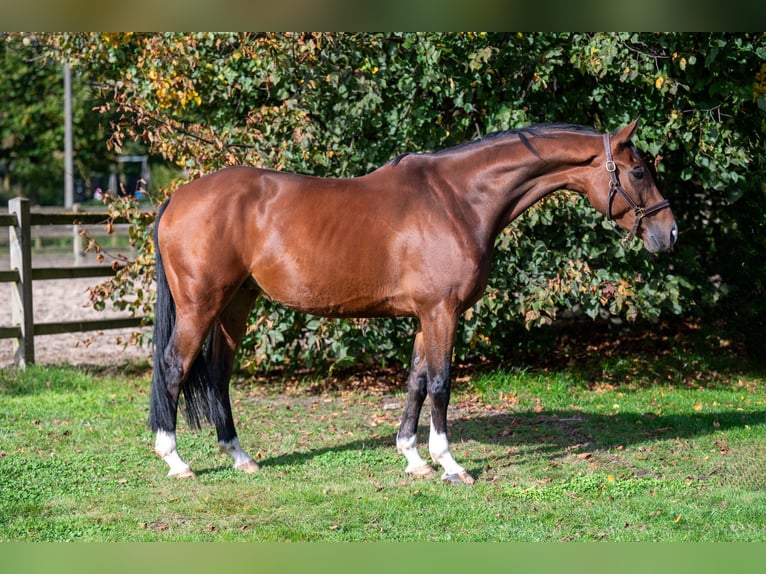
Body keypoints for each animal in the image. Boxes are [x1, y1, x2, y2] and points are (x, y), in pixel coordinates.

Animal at [148, 118, 680, 486]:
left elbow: (416, 382)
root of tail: (176, 200)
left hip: (236, 305)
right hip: (200, 306)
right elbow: (441, 385)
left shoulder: (427, 315)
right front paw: (450, 465)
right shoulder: (443, 312)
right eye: (637, 171)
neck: (458, 199)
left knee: (218, 373)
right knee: (174, 367)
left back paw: (241, 457)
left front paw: (413, 458)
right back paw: (176, 461)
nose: (669, 233)